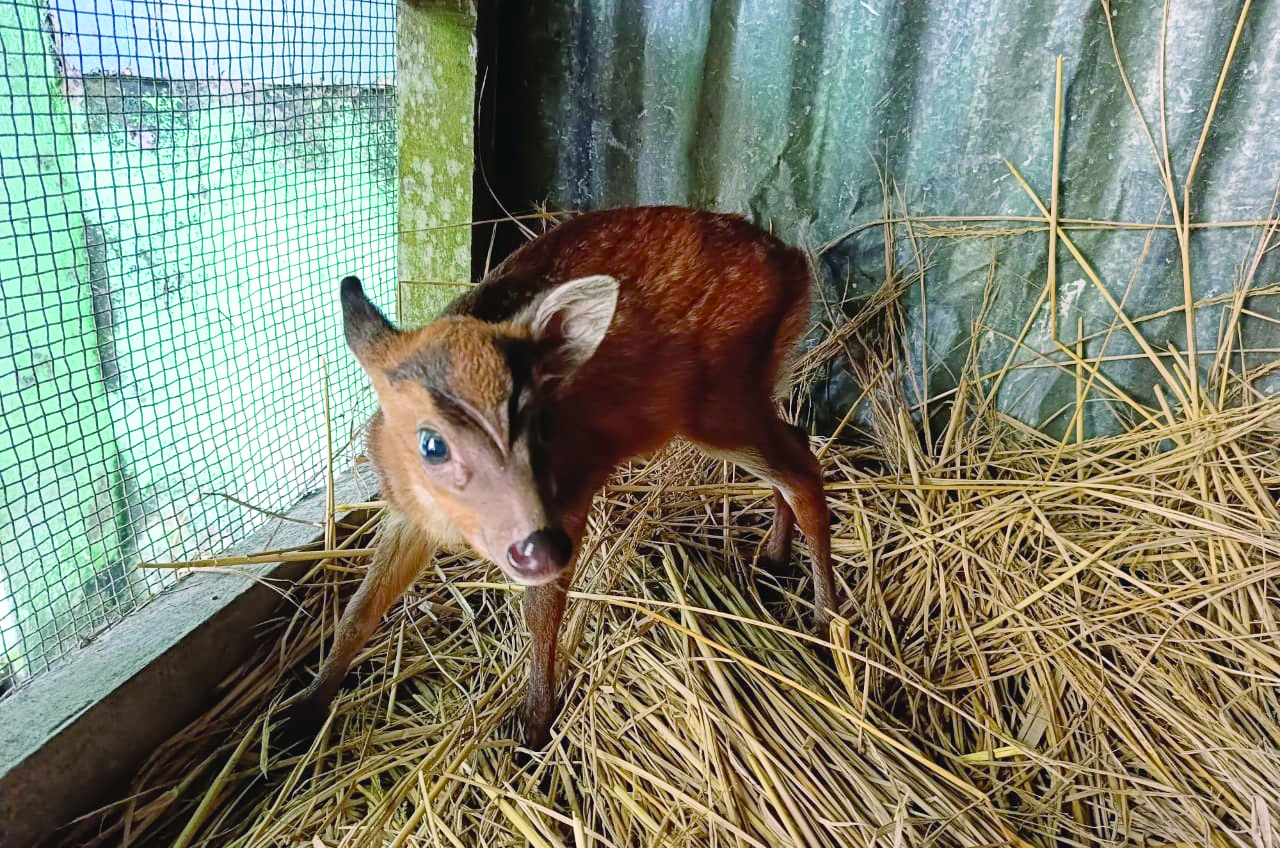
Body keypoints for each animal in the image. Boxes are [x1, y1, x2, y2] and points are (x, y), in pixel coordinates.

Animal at [292, 206, 835, 750]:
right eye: (431, 443)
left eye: (539, 421)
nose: (539, 546)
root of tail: (795, 266)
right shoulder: (407, 514)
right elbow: (359, 610)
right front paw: (303, 711)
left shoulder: (571, 494)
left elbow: (540, 614)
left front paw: (534, 724)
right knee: (796, 441)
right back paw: (775, 558)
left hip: (719, 402)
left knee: (804, 471)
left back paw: (824, 624)